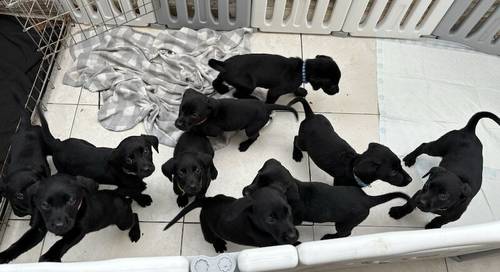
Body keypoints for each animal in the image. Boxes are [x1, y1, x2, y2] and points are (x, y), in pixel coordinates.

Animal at [0, 174, 140, 264]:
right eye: (44, 204)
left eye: (72, 201)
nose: (59, 225)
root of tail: (121, 196)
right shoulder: (38, 229)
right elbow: (20, 243)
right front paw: (4, 255)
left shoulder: (78, 231)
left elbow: (61, 242)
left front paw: (49, 257)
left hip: (123, 222)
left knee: (135, 215)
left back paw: (135, 233)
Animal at [163, 187, 296, 253]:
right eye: (270, 219)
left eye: (289, 211)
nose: (293, 236)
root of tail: (208, 201)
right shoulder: (270, 244)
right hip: (207, 231)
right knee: (212, 239)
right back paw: (219, 245)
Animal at [207, 53, 340, 103]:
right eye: (333, 85)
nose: (338, 91)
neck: (302, 70)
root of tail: (225, 65)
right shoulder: (274, 92)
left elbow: (295, 89)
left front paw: (300, 92)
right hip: (249, 85)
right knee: (237, 94)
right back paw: (254, 98)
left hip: (224, 74)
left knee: (216, 80)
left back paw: (221, 88)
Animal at [242, 158, 410, 239]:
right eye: (257, 176)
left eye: (269, 188)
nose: (245, 192)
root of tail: (367, 199)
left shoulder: (294, 220)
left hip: (344, 224)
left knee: (345, 234)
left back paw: (330, 237)